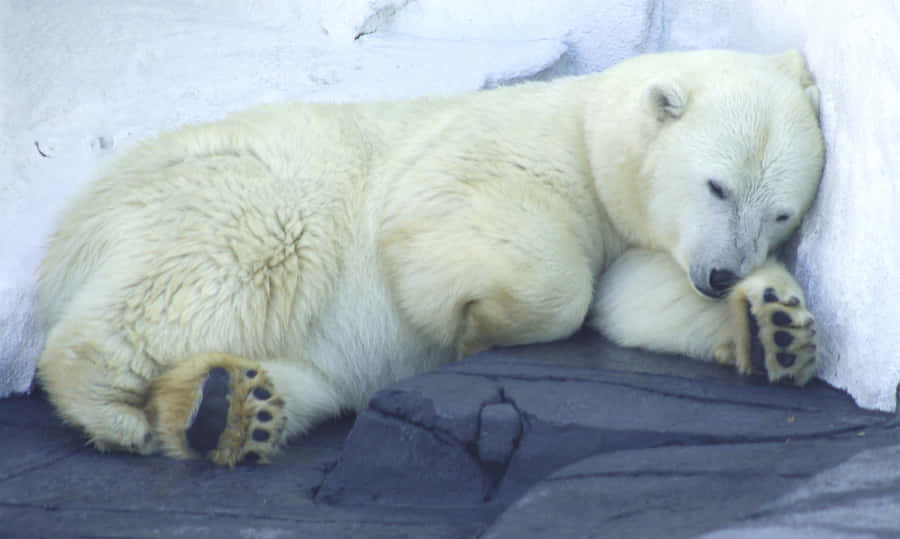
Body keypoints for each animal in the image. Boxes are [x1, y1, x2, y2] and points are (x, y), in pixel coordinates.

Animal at [36, 49, 824, 466]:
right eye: (717, 185)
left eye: (782, 214)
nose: (720, 273)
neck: (588, 133)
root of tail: (73, 228)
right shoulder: (499, 152)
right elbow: (456, 224)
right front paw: (475, 326)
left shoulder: (633, 238)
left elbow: (635, 301)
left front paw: (777, 327)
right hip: (244, 195)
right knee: (216, 268)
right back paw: (112, 408)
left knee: (304, 381)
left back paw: (226, 406)